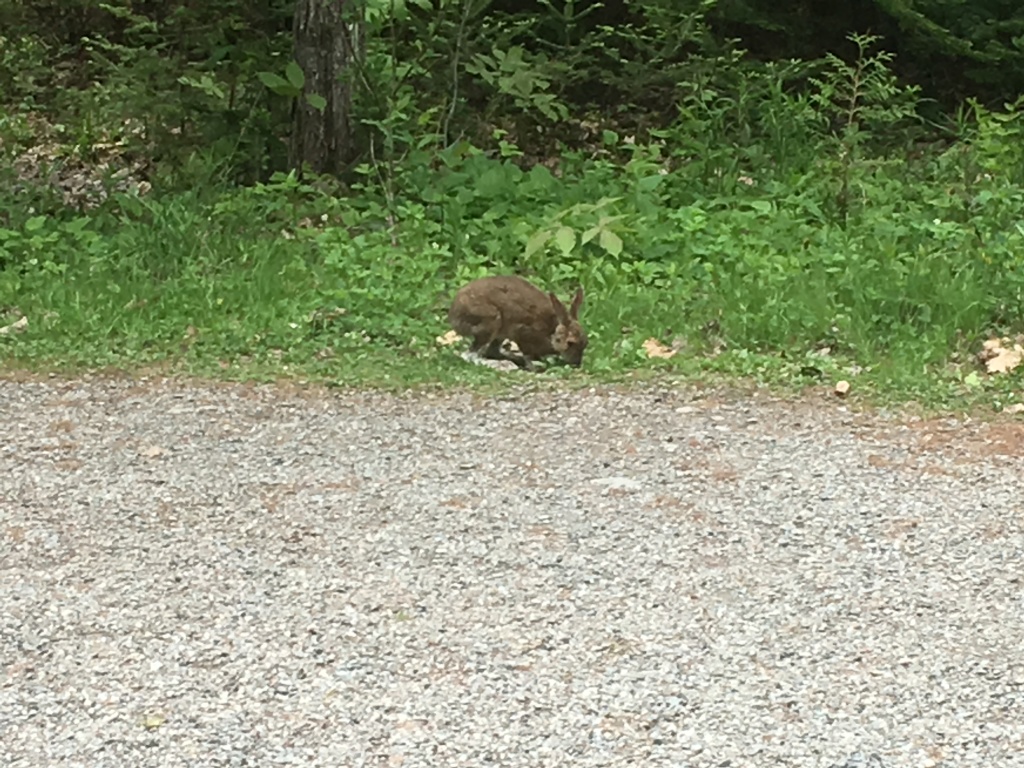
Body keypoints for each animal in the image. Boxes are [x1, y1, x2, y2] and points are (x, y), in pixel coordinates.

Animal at [447, 275, 587, 370]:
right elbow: (527, 356)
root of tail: (454, 314)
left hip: (499, 333)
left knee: (491, 351)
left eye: (586, 342)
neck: (552, 333)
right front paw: (534, 367)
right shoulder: (523, 334)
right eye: (570, 343)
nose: (577, 363)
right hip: (490, 324)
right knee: (469, 355)